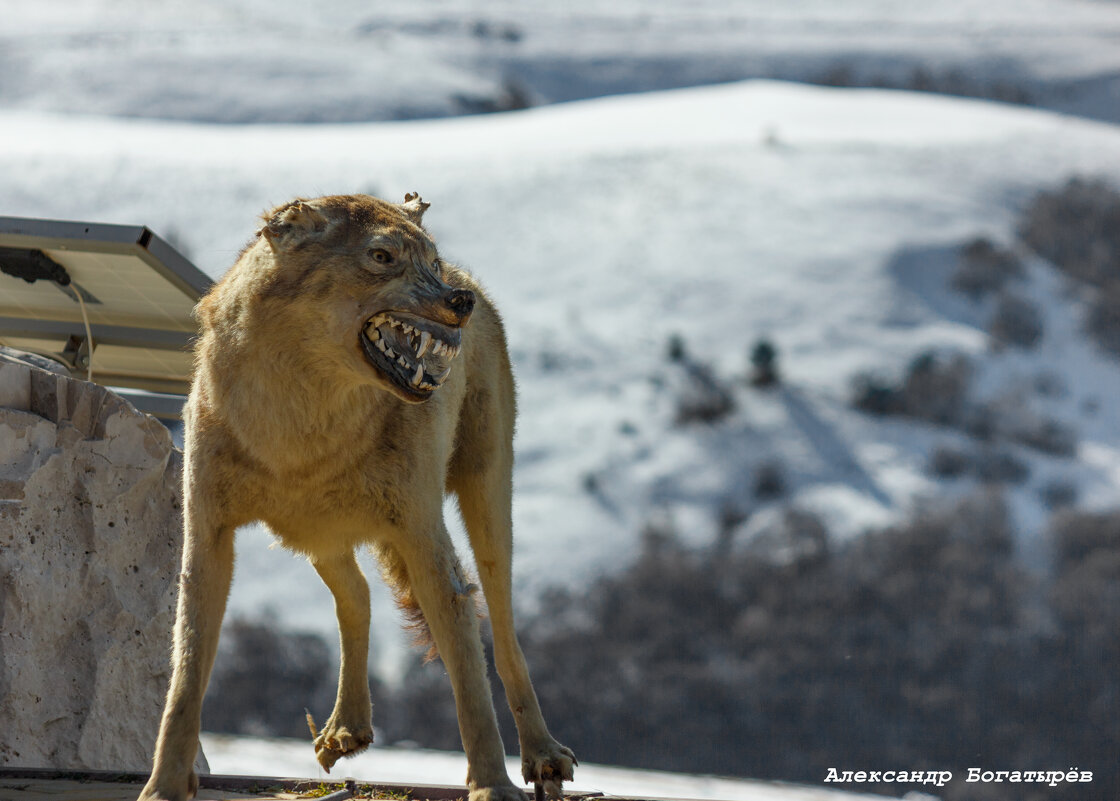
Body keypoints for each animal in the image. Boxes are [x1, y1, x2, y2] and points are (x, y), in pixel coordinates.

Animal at [137, 192, 577, 801]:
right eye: (382, 256)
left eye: (429, 261)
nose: (457, 301)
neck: (300, 425)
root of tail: (473, 276)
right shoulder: (207, 537)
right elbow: (184, 676)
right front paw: (161, 786)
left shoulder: (423, 537)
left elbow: (470, 681)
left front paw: (491, 786)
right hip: (315, 535)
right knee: (359, 595)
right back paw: (347, 728)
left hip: (485, 507)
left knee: (504, 630)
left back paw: (542, 756)